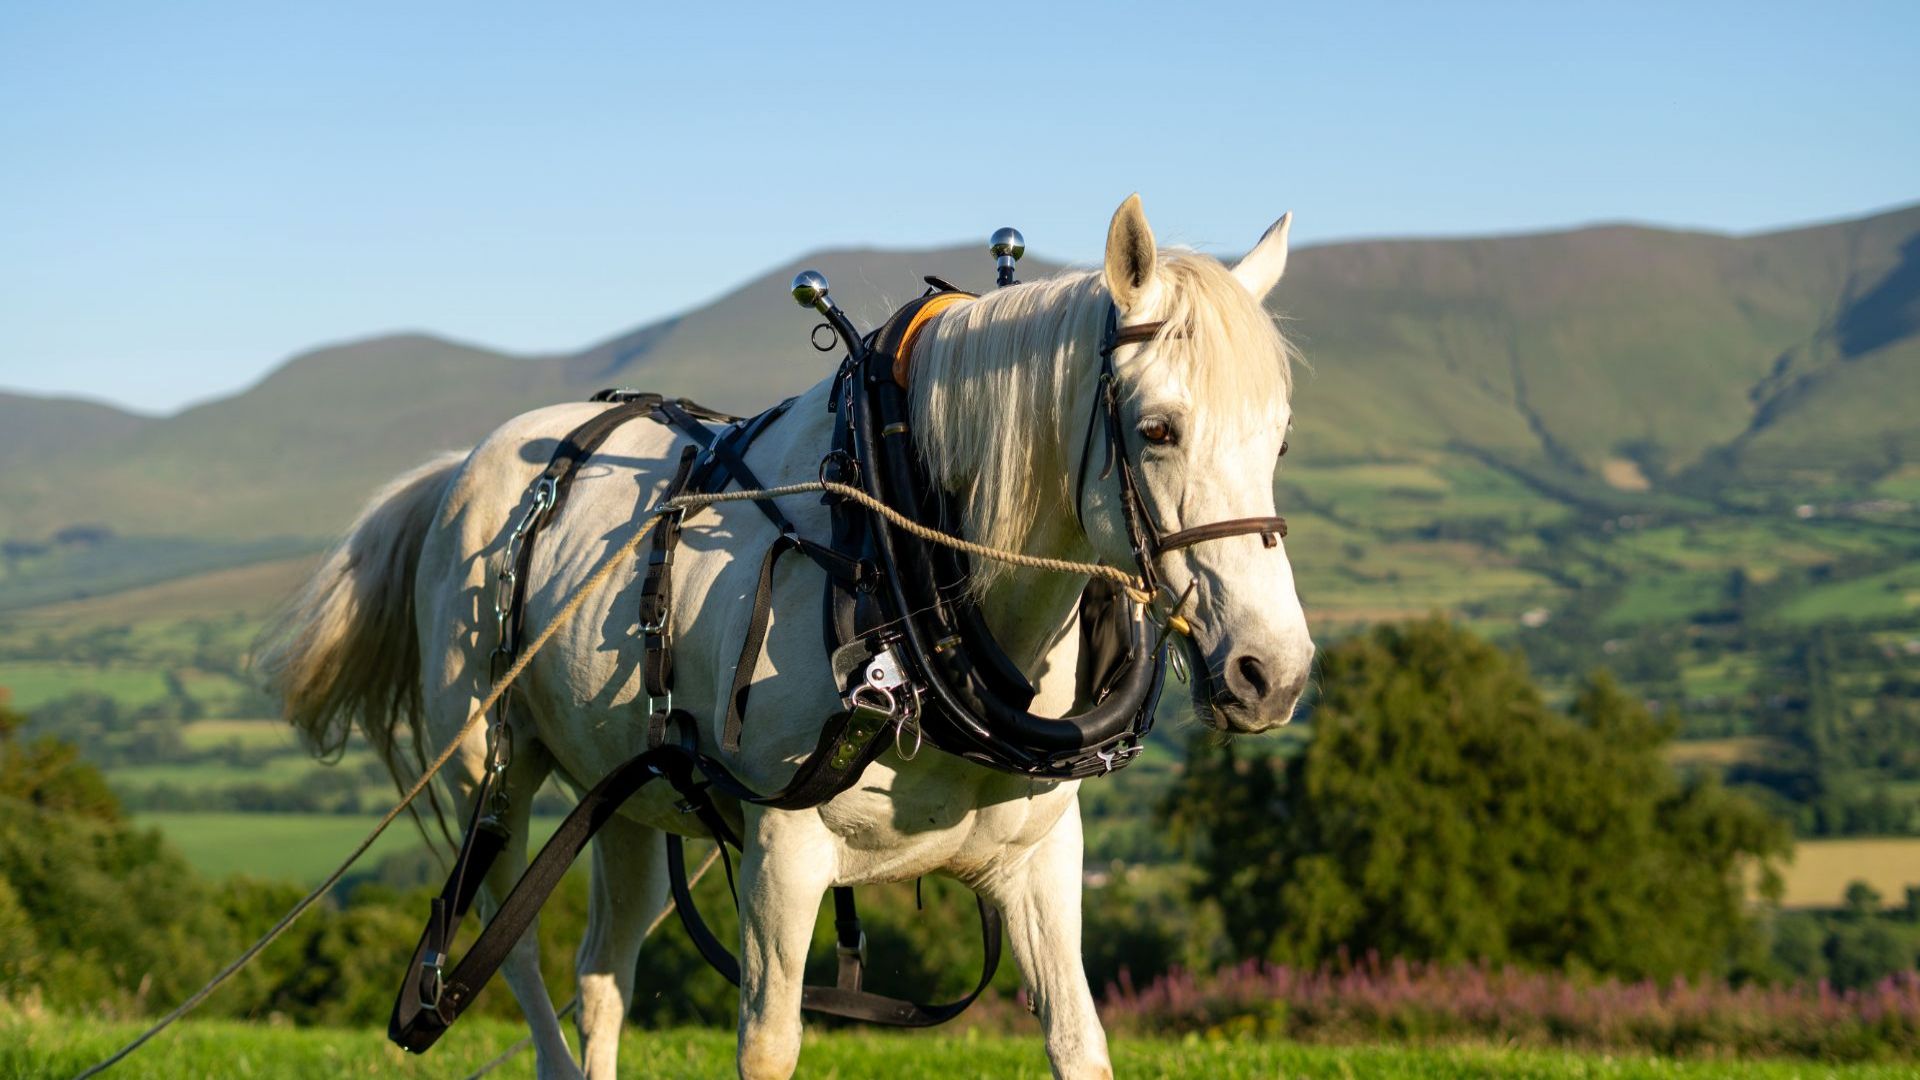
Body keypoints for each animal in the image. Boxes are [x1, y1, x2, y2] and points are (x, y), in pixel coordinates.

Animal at [259, 194, 1313, 1080]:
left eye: (1281, 437)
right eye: (1159, 429)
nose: (1274, 673)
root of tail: (461, 473)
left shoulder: (1042, 860)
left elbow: (1077, 1040)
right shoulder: (783, 855)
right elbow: (768, 1045)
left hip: (628, 798)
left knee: (603, 973)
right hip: (495, 767)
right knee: (504, 944)